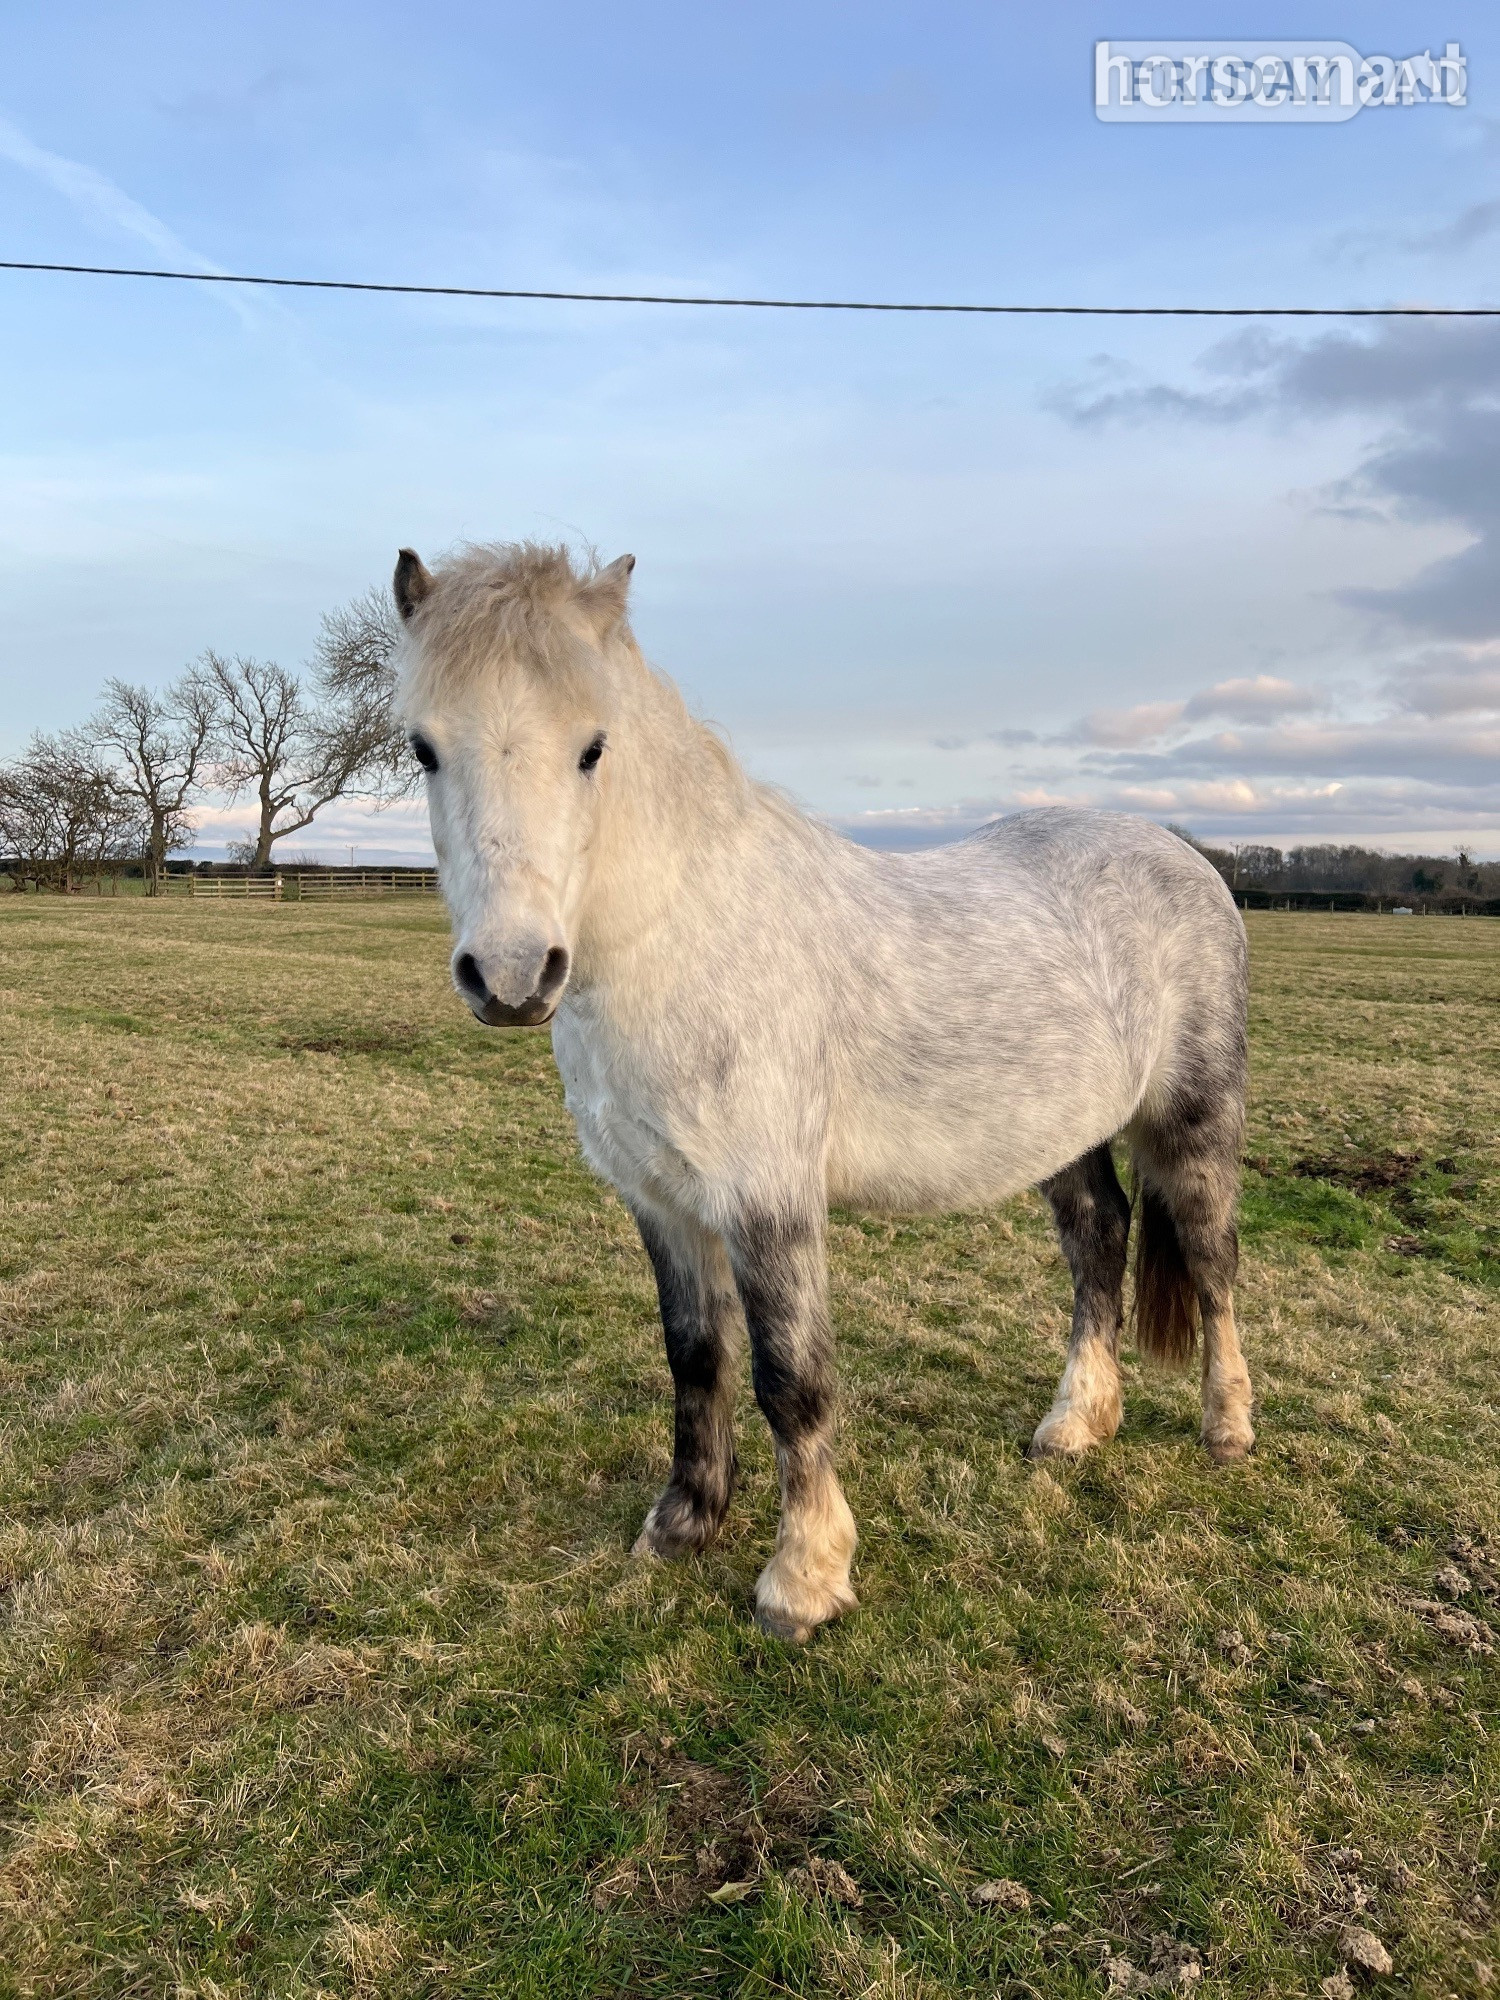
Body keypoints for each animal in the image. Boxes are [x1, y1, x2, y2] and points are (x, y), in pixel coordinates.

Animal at [393, 541, 1254, 1642]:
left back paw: (1226, 1428)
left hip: (1193, 1119)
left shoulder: (769, 1199)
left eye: (593, 747)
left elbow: (791, 1380)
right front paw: (682, 1525)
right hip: (1061, 1133)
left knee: (1213, 1259)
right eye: (424, 748)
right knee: (1099, 1239)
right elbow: (696, 1356)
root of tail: (1186, 854)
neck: (686, 935)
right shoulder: (663, 1201)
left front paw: (801, 1579)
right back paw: (1074, 1427)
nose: (510, 975)